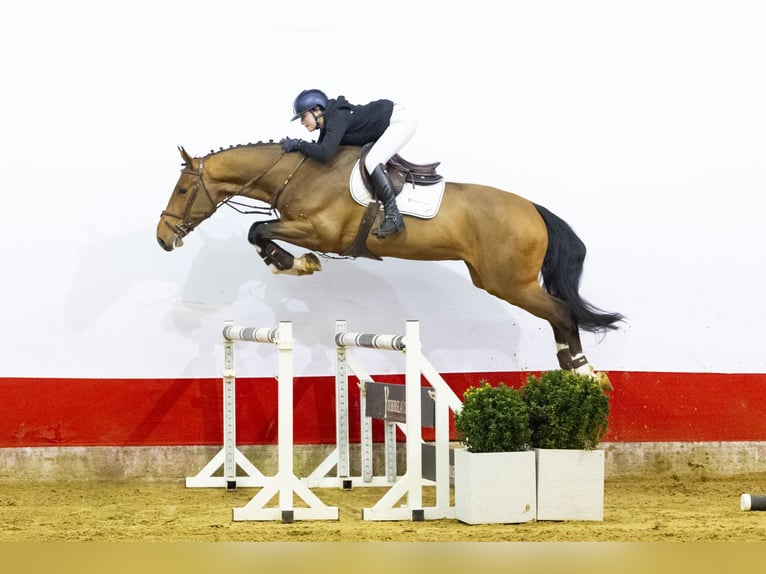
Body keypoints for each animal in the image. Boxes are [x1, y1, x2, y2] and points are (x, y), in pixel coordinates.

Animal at [156, 142, 623, 386]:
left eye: (181, 190)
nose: (163, 238)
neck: (301, 174)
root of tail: (534, 209)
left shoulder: (320, 232)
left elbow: (258, 229)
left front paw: (293, 262)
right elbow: (259, 231)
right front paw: (289, 263)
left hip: (509, 282)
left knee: (561, 312)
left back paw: (584, 371)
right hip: (500, 280)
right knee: (560, 314)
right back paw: (573, 368)